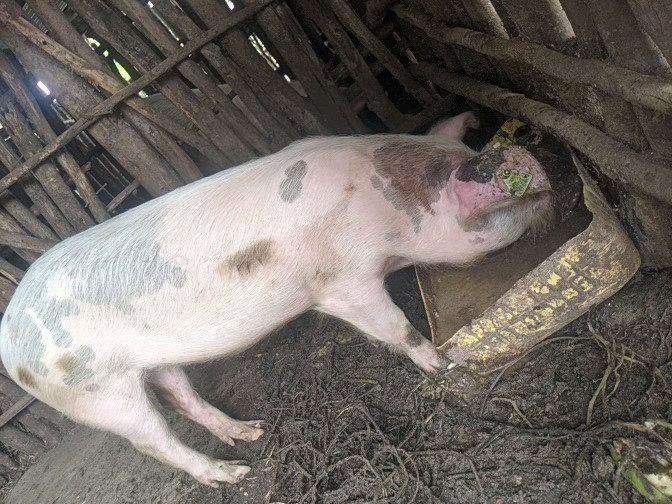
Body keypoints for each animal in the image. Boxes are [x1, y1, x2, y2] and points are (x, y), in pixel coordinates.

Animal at [0, 111, 552, 487]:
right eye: (478, 176)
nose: (528, 157)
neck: (385, 209)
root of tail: (10, 342)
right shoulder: (342, 282)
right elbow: (396, 328)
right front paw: (441, 364)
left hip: (150, 362)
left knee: (180, 394)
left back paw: (251, 432)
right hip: (94, 392)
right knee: (151, 440)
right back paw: (235, 474)